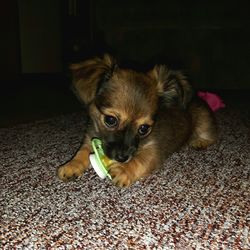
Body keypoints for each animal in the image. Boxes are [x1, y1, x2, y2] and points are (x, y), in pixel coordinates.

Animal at [57, 55, 217, 188]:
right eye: (110, 120)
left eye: (144, 128)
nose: (122, 158)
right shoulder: (89, 138)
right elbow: (82, 151)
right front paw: (72, 165)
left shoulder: (153, 150)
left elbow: (140, 160)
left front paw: (124, 170)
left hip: (203, 121)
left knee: (211, 135)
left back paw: (200, 141)